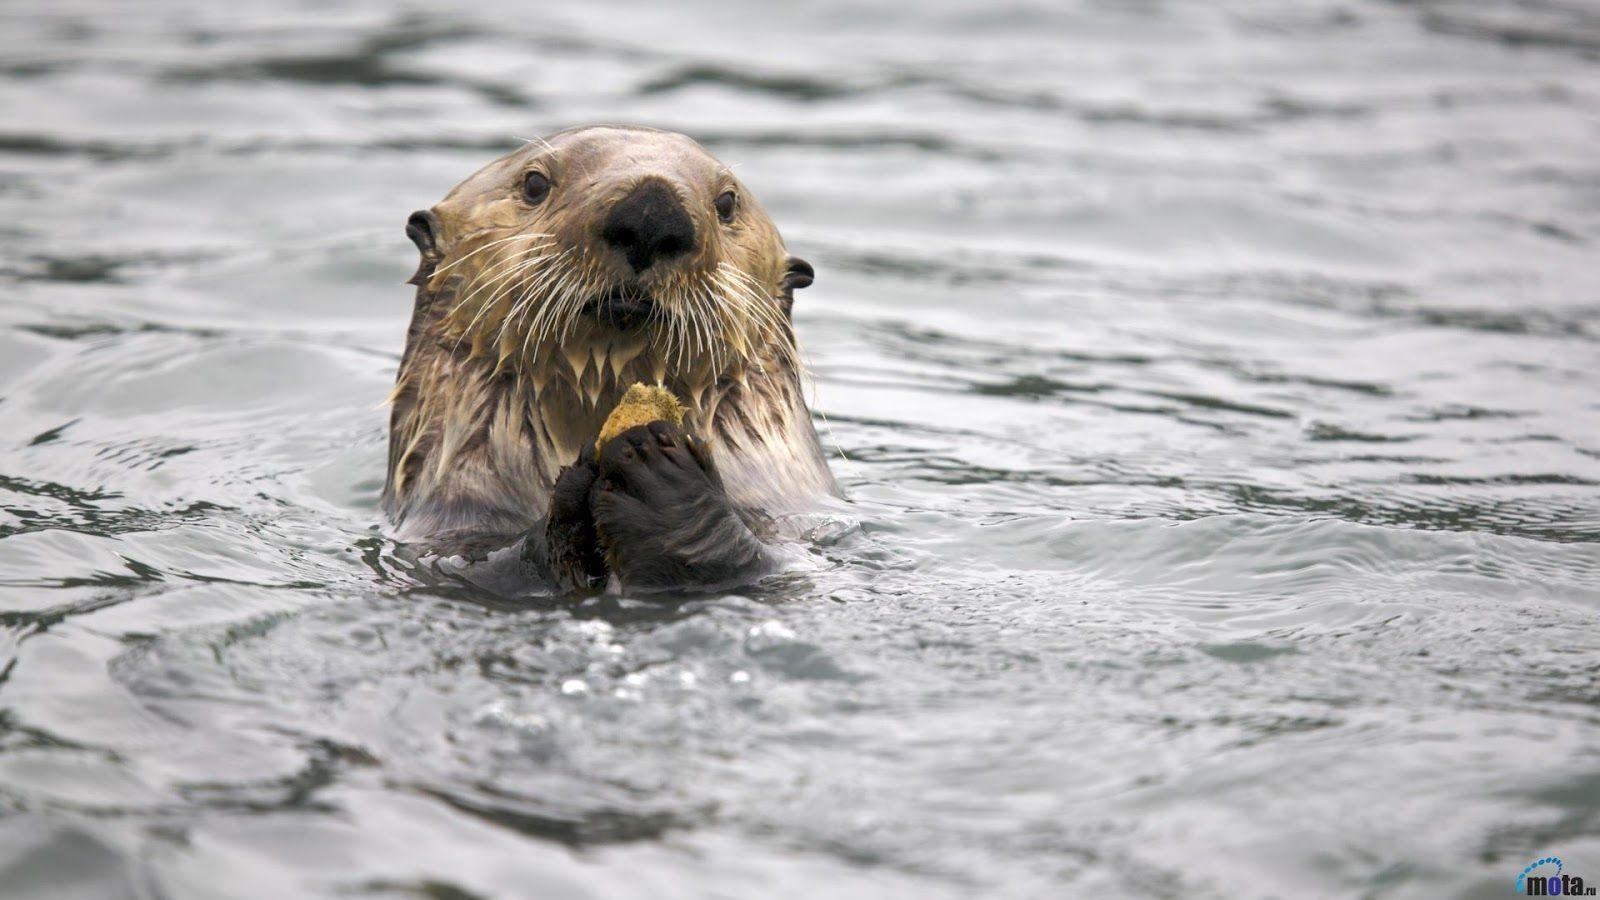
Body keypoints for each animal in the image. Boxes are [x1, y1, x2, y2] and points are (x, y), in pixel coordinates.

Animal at [382, 124, 844, 589]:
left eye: (727, 203)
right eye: (534, 183)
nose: (651, 213)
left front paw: (658, 471)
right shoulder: (444, 538)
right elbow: (489, 564)